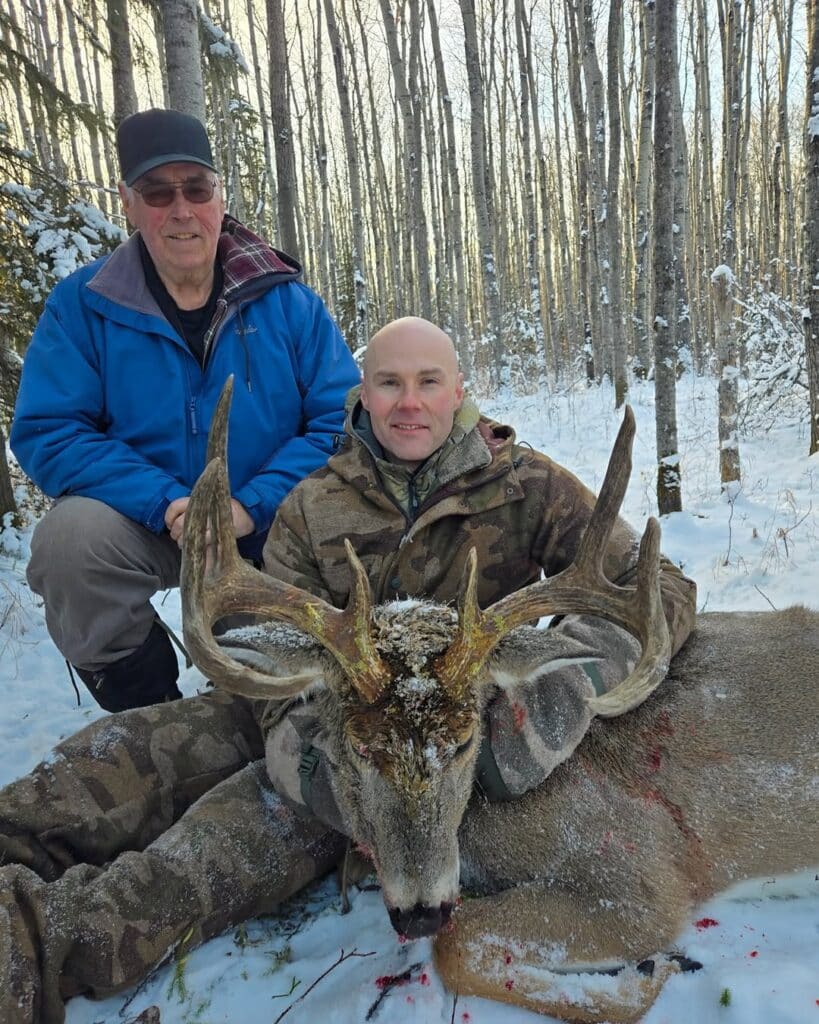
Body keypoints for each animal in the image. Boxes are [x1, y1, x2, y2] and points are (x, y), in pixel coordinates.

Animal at [180, 383, 819, 1023]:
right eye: (357, 748)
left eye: (467, 741)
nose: (421, 911)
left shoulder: (640, 874)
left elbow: (456, 946)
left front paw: (654, 970)